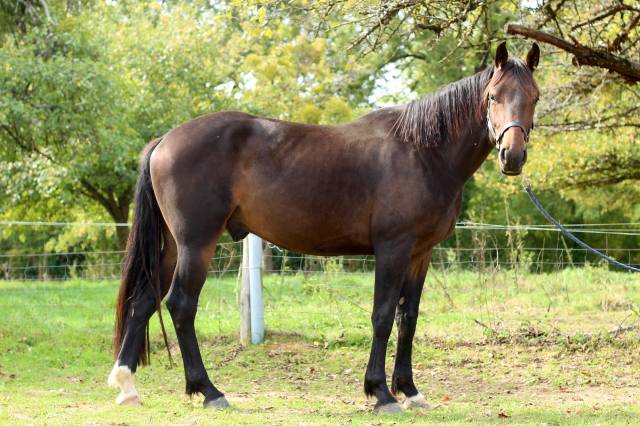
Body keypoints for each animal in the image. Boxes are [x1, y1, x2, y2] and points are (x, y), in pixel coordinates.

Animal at [108, 41, 540, 413]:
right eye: (493, 97)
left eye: (534, 97)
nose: (512, 156)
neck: (422, 152)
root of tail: (165, 140)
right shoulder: (393, 248)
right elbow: (383, 315)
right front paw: (381, 393)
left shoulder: (421, 253)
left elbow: (409, 318)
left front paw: (410, 390)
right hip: (196, 244)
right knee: (180, 304)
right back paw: (209, 391)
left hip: (172, 246)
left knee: (144, 301)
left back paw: (127, 384)